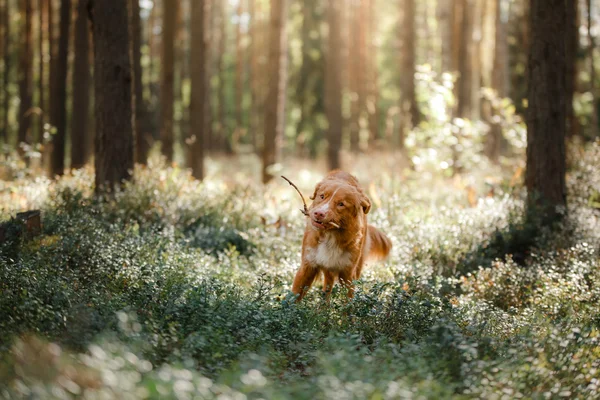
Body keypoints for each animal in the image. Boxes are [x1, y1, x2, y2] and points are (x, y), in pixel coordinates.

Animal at [292, 170, 394, 302]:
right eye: (322, 196)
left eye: (341, 204)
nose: (319, 213)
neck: (330, 235)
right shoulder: (307, 266)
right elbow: (293, 298)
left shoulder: (348, 273)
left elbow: (348, 302)